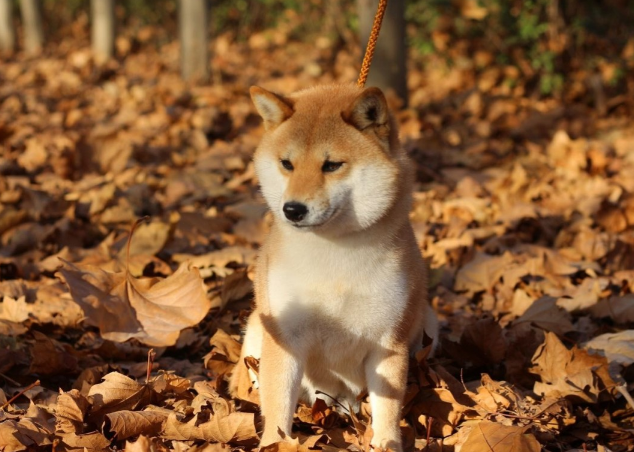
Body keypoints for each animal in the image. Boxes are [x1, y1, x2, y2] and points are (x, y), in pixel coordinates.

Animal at [230, 83, 436, 450]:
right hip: (256, 330)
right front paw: (274, 442)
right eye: (287, 164)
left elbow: (387, 408)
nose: (293, 209)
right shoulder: (285, 335)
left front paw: (386, 442)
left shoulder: (389, 341)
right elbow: (278, 406)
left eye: (332, 165)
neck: (333, 253)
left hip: (429, 324)